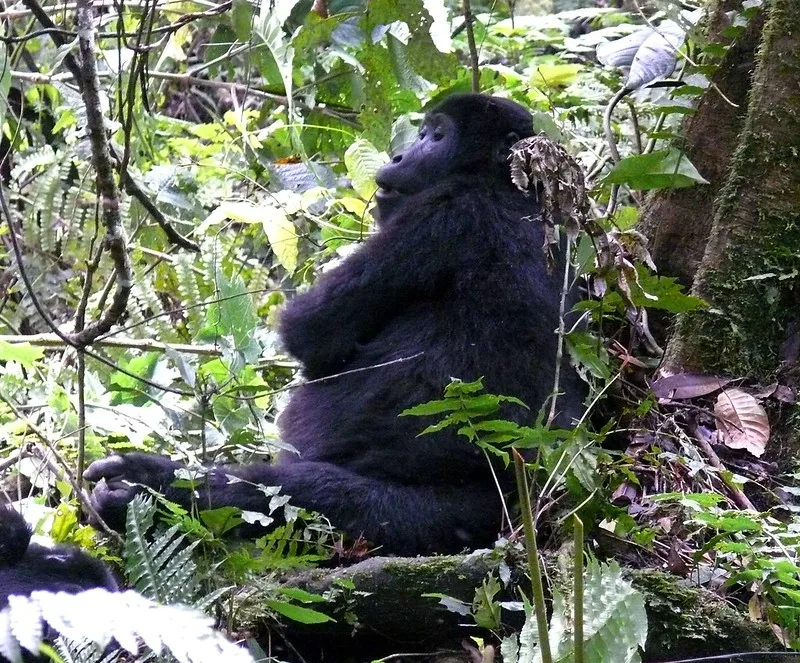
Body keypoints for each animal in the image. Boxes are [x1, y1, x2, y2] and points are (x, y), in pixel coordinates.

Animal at [84, 94, 584, 556]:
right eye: (422, 133)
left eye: (435, 136)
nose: (398, 156)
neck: (505, 185)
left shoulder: (444, 210)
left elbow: (309, 332)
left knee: (297, 494)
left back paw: (150, 489)